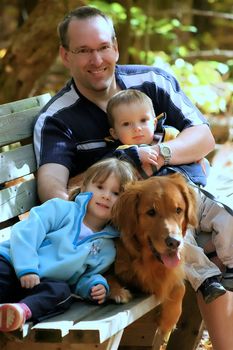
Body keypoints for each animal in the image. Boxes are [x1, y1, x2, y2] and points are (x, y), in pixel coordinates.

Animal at [108, 172, 198, 342]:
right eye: (151, 212)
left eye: (178, 210)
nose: (174, 242)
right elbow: (105, 276)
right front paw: (118, 292)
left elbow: (180, 288)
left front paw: (168, 323)